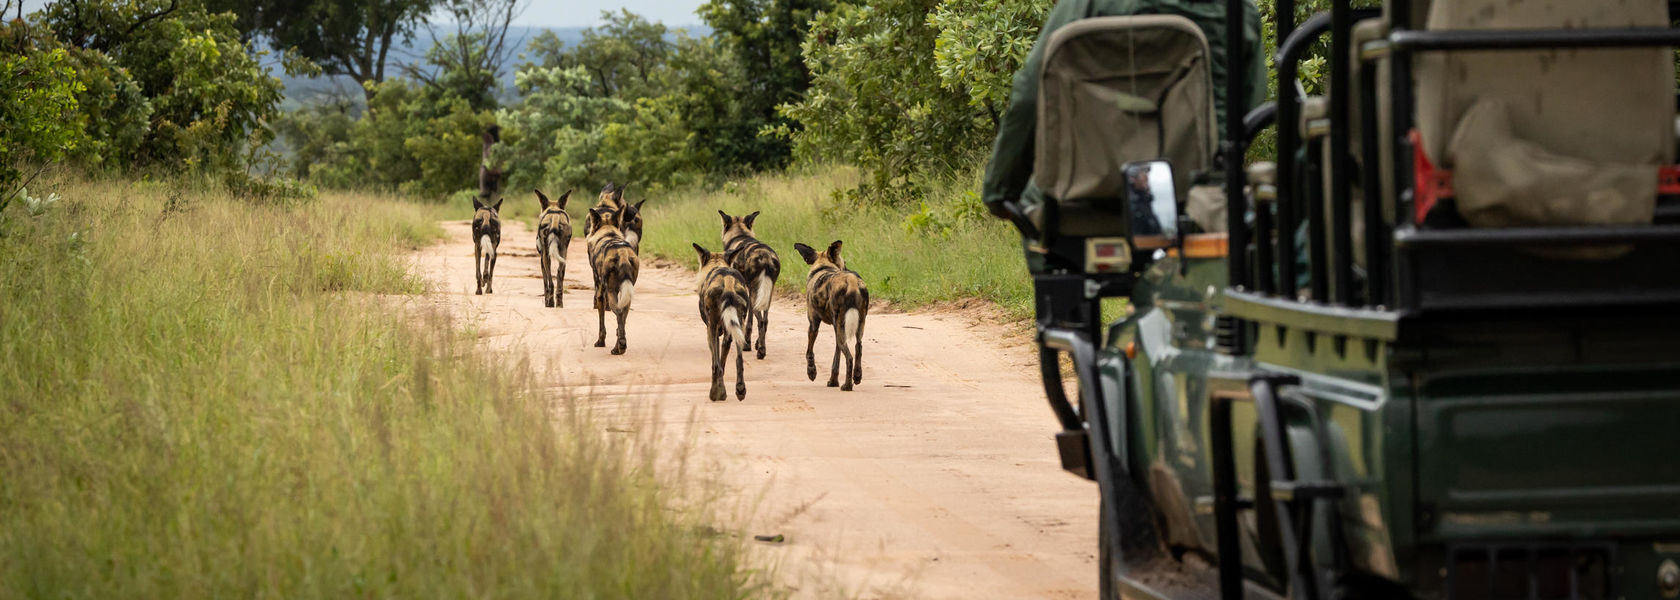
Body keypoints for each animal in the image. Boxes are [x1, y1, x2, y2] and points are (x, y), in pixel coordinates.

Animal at [591, 203, 641, 352]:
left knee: (618, 312)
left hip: (611, 291)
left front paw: (600, 342)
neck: (608, 233)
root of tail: (622, 253)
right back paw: (620, 346)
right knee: (623, 315)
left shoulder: (600, 293)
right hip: (626, 294)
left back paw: (619, 347)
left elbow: (601, 324)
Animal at [692, 240, 752, 400]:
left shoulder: (711, 329)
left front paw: (719, 390)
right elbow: (723, 362)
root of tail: (728, 279)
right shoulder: (727, 332)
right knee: (739, 360)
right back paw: (740, 390)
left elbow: (716, 362)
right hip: (739, 326)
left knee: (716, 366)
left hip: (712, 327)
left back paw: (715, 394)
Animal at [719, 210, 776, 359]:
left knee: (760, 320)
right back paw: (760, 346)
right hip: (767, 294)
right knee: (765, 321)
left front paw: (747, 344)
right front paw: (750, 342)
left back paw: (761, 350)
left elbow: (747, 321)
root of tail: (765, 255)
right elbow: (750, 321)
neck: (740, 234)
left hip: (756, 294)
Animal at [789, 240, 866, 389]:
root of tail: (851, 281)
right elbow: (836, 359)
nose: (847, 268)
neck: (823, 267)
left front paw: (811, 372)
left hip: (840, 327)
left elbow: (809, 352)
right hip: (856, 325)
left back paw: (847, 386)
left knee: (849, 357)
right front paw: (833, 381)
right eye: (844, 262)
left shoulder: (813, 324)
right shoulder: (837, 329)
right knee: (858, 348)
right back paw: (857, 377)